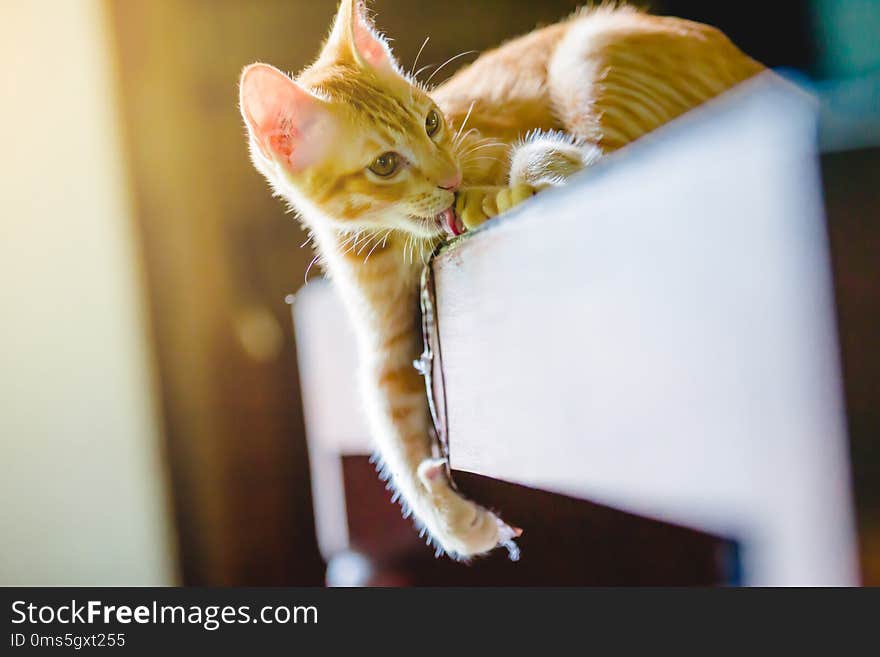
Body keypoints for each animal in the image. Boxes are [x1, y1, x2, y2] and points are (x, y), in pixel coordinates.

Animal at [239, 0, 764, 560]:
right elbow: (394, 428)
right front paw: (453, 519)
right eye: (384, 164)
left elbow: (569, 163)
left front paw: (517, 180)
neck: (393, 244)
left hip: (586, 57)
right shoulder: (386, 348)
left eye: (432, 122)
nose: (450, 180)